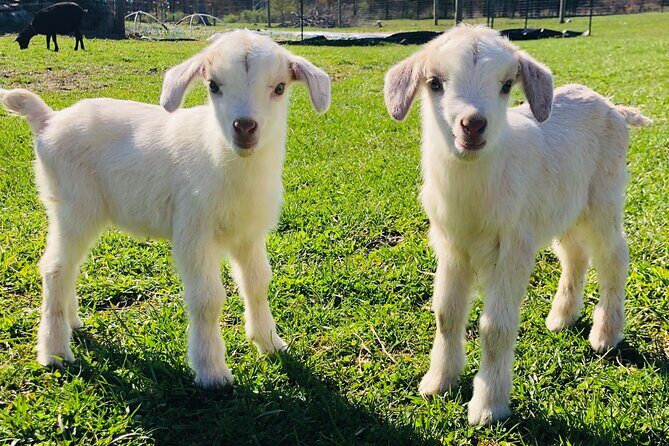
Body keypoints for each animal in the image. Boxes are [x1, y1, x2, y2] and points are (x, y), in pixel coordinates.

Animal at [0, 30, 331, 387]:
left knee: (68, 267)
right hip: (73, 205)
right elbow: (207, 300)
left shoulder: (249, 233)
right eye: (213, 85)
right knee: (55, 268)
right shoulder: (193, 231)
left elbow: (257, 284)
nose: (244, 127)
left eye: (280, 87)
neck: (227, 161)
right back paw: (55, 351)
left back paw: (72, 323)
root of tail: (48, 120)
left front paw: (270, 343)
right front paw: (212, 371)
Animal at [384, 25, 651, 425]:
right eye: (434, 83)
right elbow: (446, 314)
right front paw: (438, 382)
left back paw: (605, 334)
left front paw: (488, 407)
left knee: (613, 257)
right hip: (561, 206)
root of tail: (612, 107)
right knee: (575, 255)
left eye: (507, 84)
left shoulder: (512, 247)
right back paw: (561, 318)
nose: (473, 125)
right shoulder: (451, 245)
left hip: (604, 198)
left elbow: (495, 327)